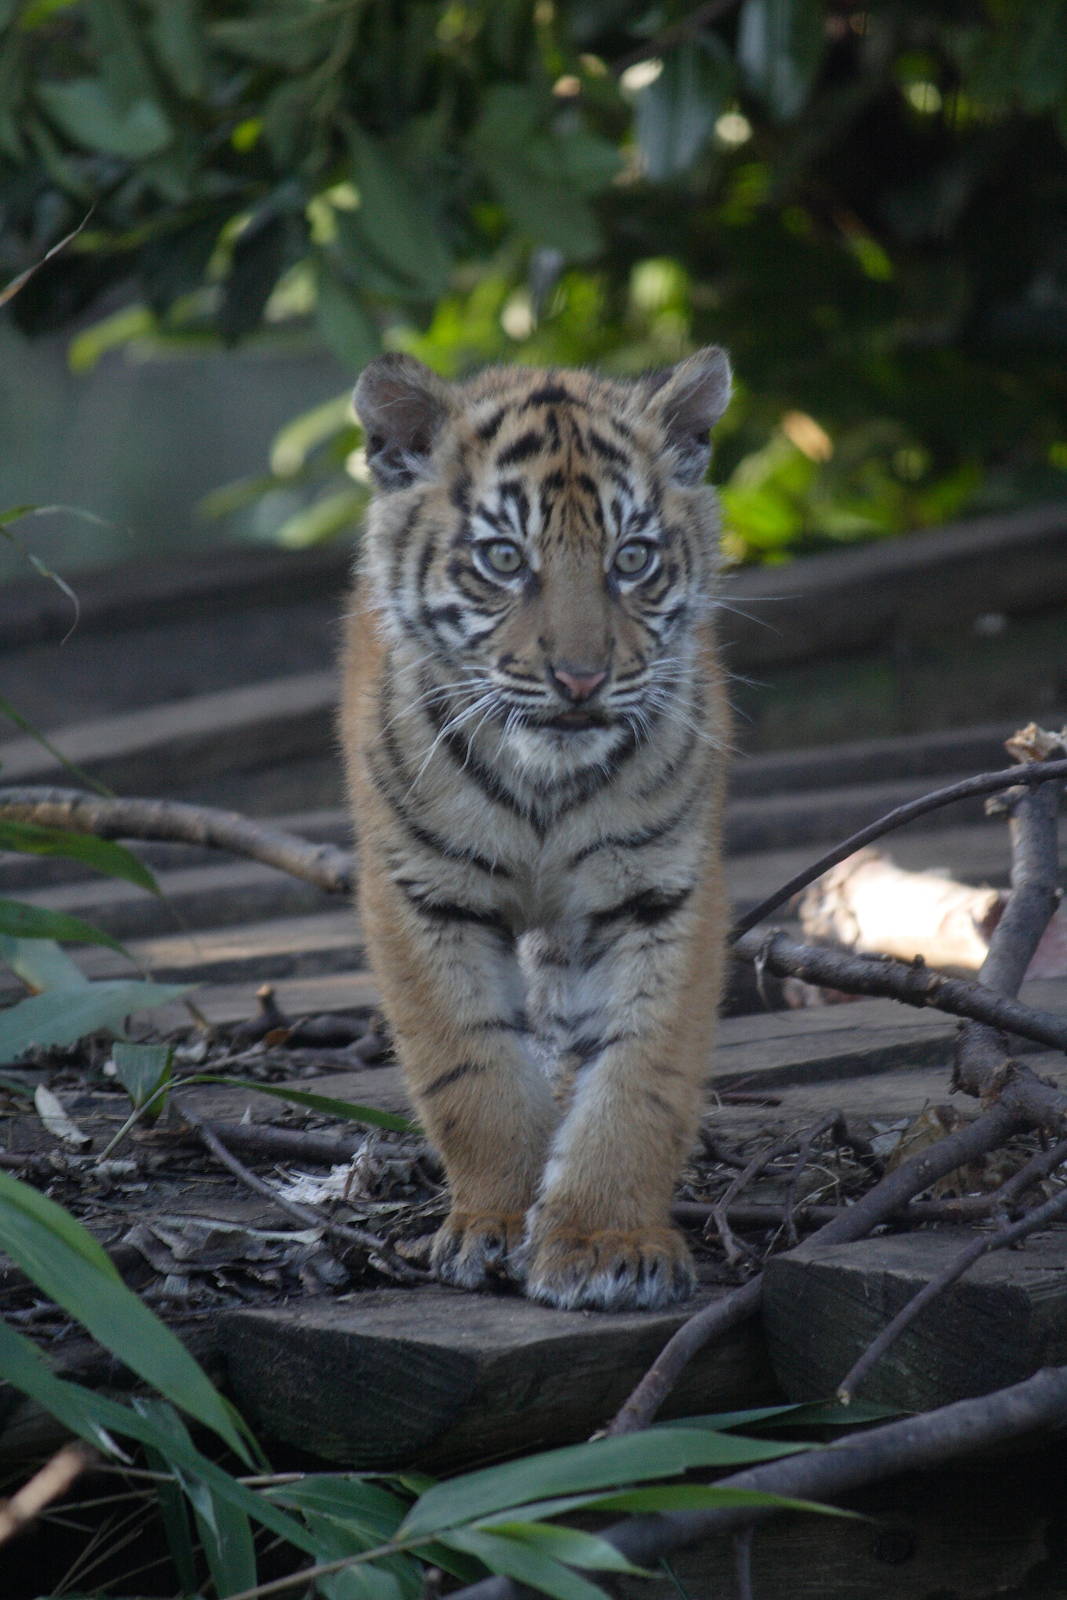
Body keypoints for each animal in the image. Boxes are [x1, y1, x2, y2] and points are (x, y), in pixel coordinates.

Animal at [339, 347, 733, 1311]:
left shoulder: (661, 891)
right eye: (502, 558)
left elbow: (641, 1073)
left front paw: (603, 1240)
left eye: (632, 558)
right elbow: (469, 1067)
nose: (581, 679)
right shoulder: (421, 892)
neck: (545, 784)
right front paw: (491, 1222)